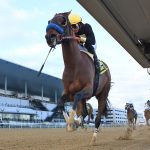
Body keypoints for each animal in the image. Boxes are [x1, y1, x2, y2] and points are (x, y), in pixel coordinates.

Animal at [45, 11, 110, 144]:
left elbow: (77, 99)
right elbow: (60, 103)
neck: (74, 65)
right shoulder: (68, 92)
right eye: (49, 21)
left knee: (97, 117)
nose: (49, 37)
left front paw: (72, 123)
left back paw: (93, 138)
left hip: (102, 93)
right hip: (85, 98)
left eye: (63, 21)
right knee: (84, 111)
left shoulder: (88, 89)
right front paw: (71, 124)